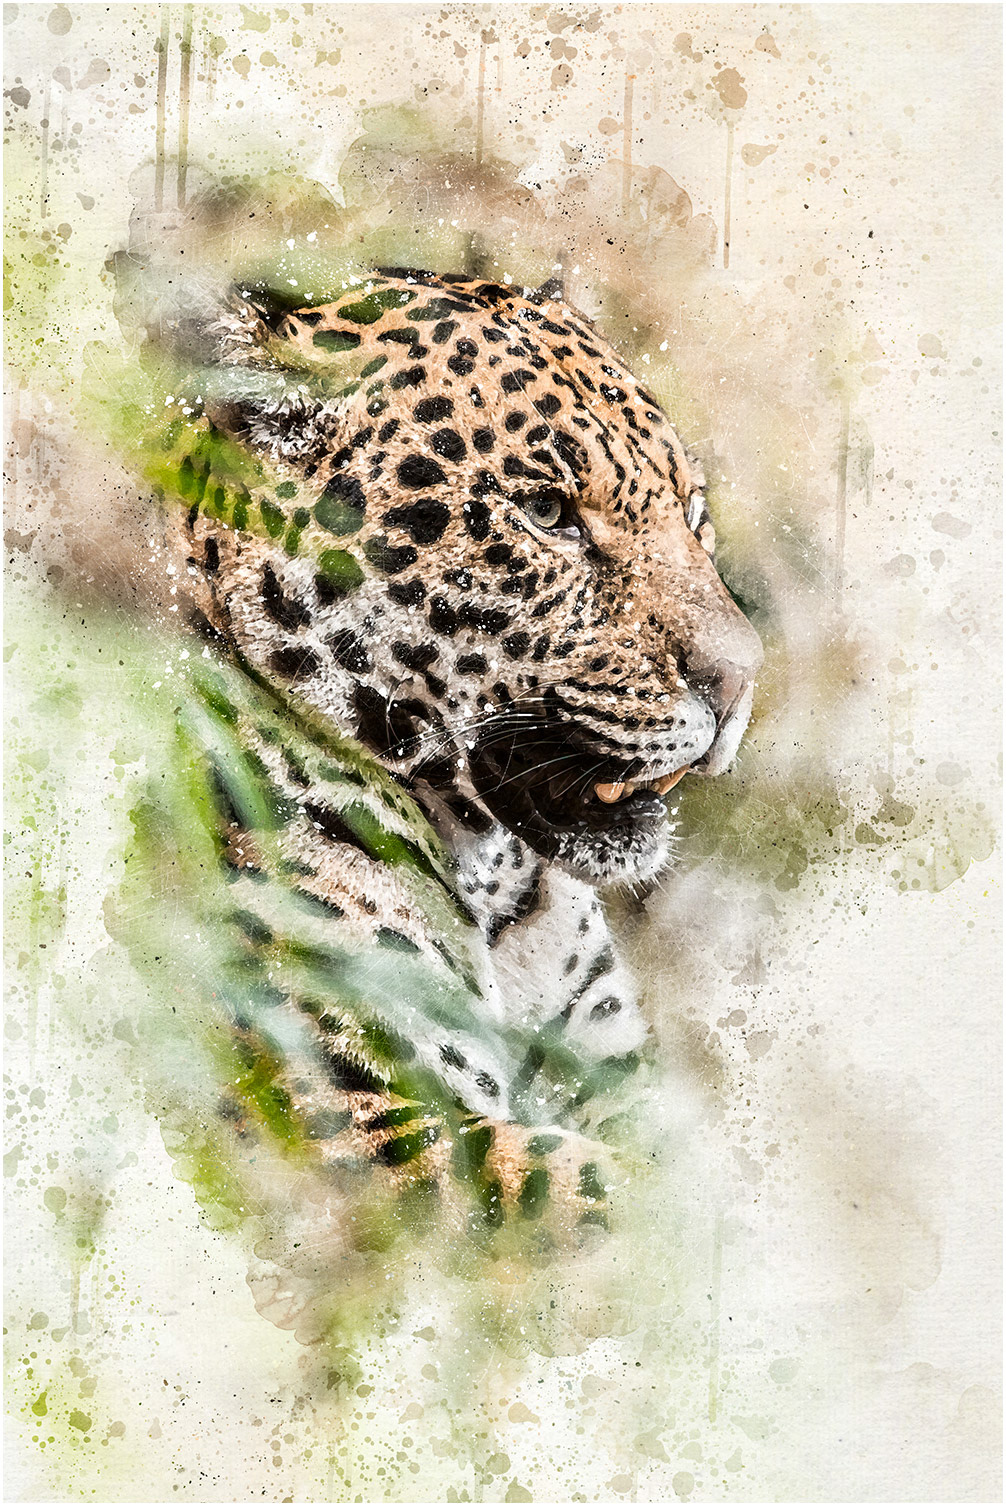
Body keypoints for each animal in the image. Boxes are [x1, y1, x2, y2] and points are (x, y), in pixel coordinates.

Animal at [140, 263, 763, 1246]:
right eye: (547, 513)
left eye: (693, 513)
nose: (744, 679)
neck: (504, 893)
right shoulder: (368, 1133)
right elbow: (604, 1197)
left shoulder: (612, 1075)